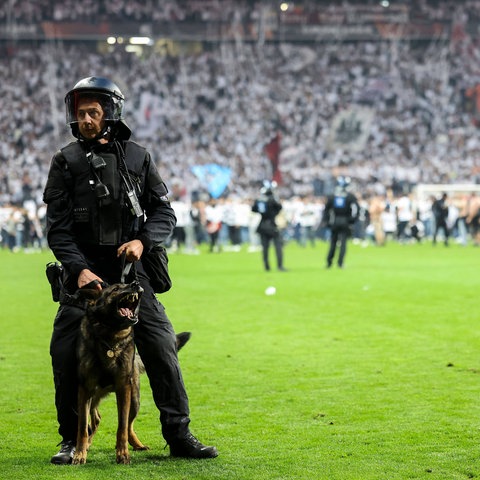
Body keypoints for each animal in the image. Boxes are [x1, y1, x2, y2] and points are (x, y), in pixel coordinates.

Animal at [73, 282, 189, 464]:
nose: (136, 283)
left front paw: (122, 453)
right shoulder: (85, 389)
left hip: (134, 400)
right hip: (91, 398)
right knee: (95, 419)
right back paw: (88, 444)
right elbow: (82, 427)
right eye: (115, 289)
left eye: (126, 285)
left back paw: (136, 444)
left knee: (128, 425)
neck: (110, 336)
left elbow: (122, 426)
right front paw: (79, 454)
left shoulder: (123, 388)